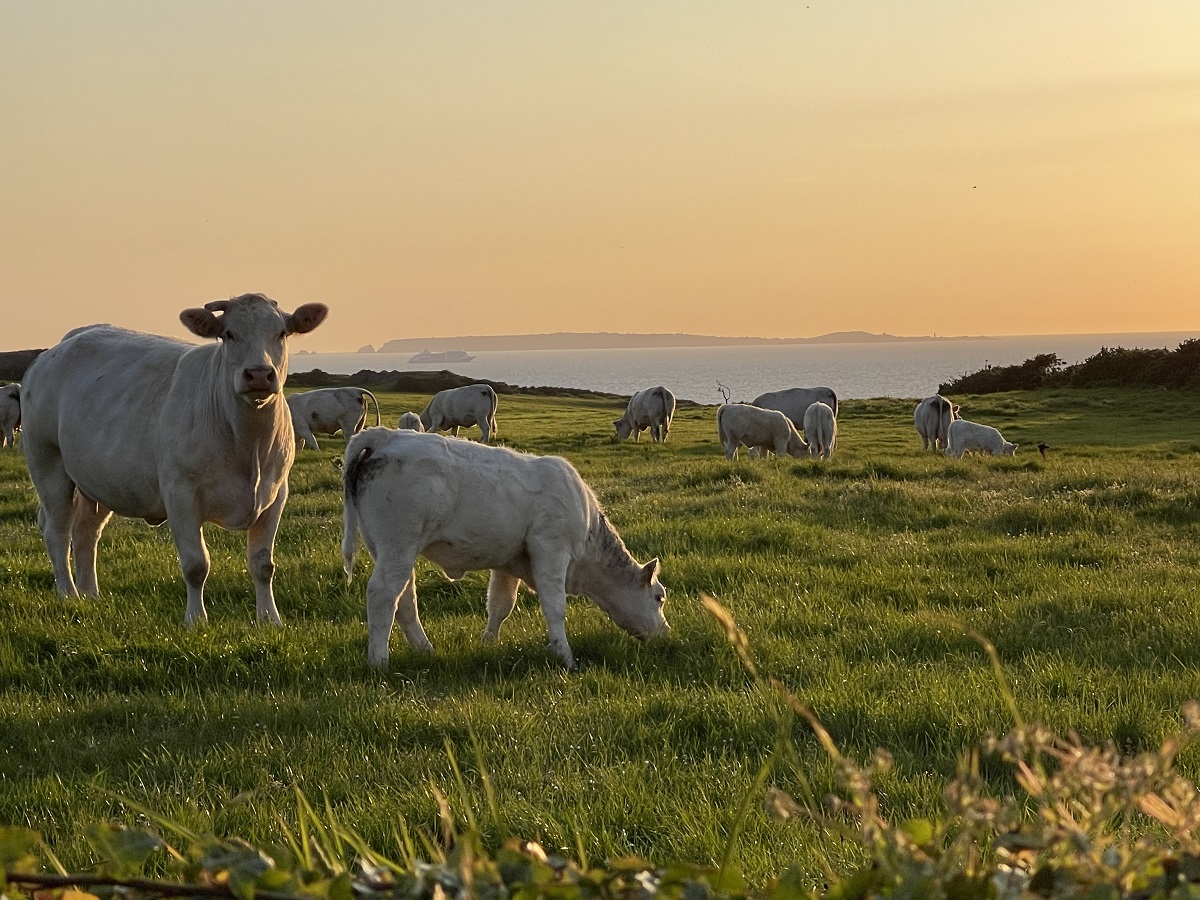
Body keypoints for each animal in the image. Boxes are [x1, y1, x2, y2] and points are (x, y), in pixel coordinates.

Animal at [19, 292, 327, 624]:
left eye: (281, 333)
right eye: (228, 334)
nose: (259, 373)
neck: (249, 446)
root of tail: (55, 351)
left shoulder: (276, 493)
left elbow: (263, 564)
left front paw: (269, 619)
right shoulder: (180, 493)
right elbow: (196, 565)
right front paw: (195, 620)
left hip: (99, 480)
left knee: (86, 533)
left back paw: (91, 595)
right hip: (47, 462)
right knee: (58, 531)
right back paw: (69, 595)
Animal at [341, 428, 669, 670]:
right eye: (659, 597)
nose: (666, 634)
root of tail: (385, 436)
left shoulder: (508, 563)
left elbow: (500, 604)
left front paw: (488, 643)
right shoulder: (551, 549)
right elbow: (554, 607)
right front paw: (566, 658)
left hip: (391, 550)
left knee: (405, 598)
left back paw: (425, 650)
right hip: (399, 544)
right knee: (383, 594)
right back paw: (379, 662)